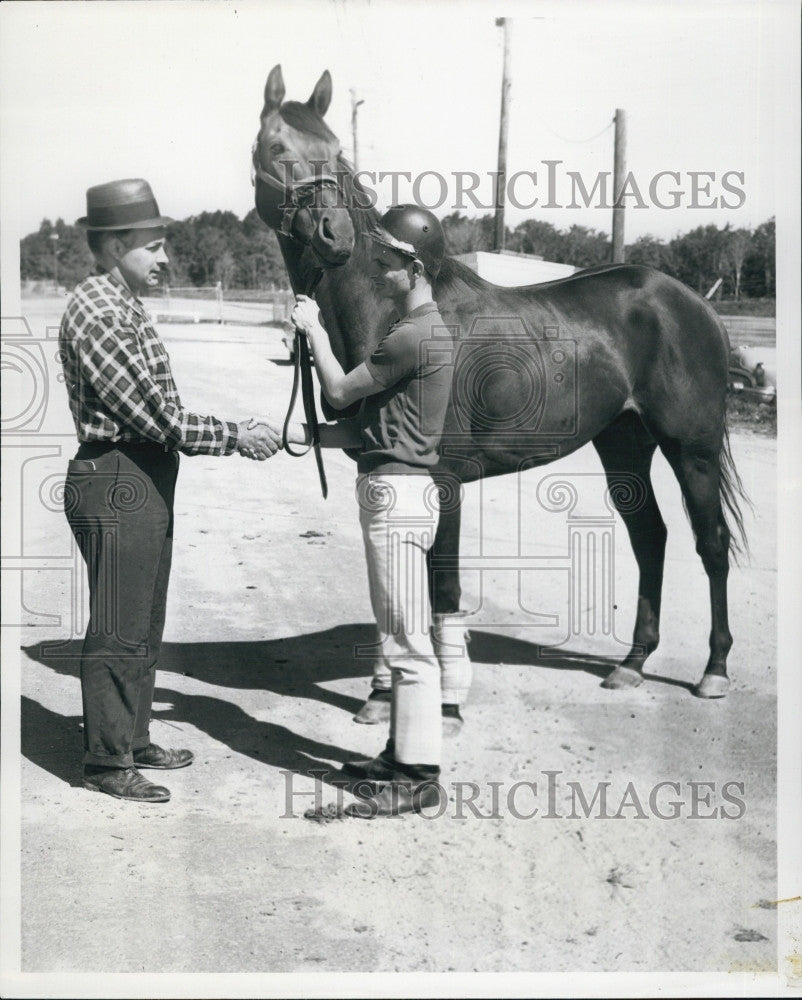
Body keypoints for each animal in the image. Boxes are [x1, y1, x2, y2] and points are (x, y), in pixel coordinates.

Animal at [253, 66, 748, 700]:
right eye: (276, 147)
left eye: (336, 151)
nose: (333, 233)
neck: (392, 311)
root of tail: (693, 303)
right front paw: (385, 691)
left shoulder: (443, 480)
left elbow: (441, 588)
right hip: (624, 443)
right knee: (650, 537)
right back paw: (633, 662)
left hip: (692, 448)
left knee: (711, 544)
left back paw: (715, 670)